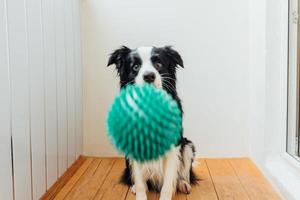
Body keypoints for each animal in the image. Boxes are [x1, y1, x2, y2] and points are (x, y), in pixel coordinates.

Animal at [108, 45, 197, 200]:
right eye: (135, 66)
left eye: (158, 64)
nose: (149, 76)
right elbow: (139, 181)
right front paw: (140, 193)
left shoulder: (173, 146)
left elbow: (168, 182)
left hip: (187, 146)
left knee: (182, 174)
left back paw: (183, 184)